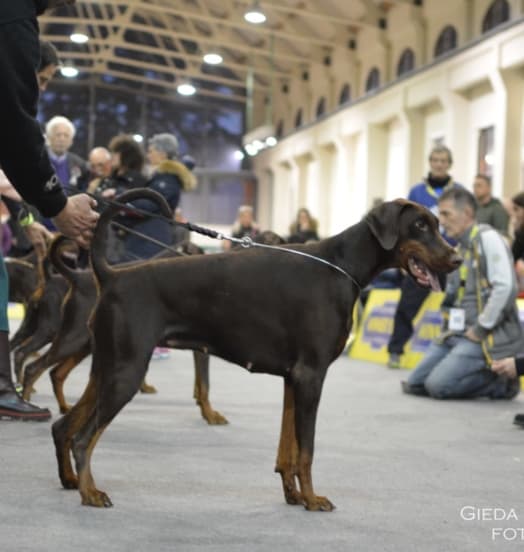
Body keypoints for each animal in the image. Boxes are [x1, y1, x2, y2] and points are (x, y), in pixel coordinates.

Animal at [53, 190, 460, 508]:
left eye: (437, 224)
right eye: (420, 226)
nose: (456, 259)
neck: (341, 266)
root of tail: (112, 275)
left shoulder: (293, 379)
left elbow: (288, 448)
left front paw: (293, 495)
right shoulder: (311, 375)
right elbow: (307, 449)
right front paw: (312, 499)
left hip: (106, 367)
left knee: (63, 426)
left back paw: (71, 481)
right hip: (127, 371)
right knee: (85, 438)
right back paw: (90, 493)